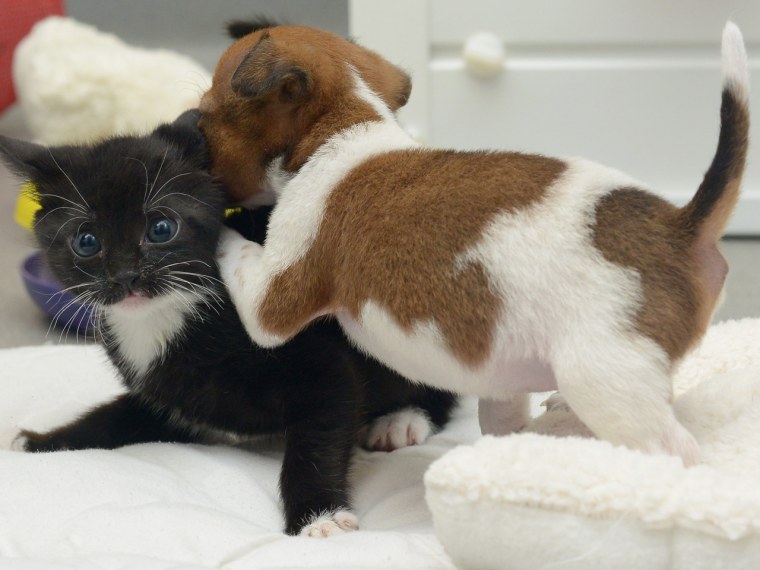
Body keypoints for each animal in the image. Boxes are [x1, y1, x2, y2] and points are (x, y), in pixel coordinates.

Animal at [0, 112, 458, 536]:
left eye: (161, 228)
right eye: (86, 241)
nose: (126, 276)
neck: (164, 317)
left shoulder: (320, 363)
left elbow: (320, 433)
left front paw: (318, 516)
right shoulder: (169, 395)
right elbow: (113, 418)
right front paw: (42, 441)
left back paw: (403, 419)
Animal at [199, 22, 752, 466]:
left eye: (202, 118)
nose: (189, 128)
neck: (343, 129)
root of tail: (683, 225)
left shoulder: (273, 298)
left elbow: (239, 257)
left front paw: (212, 223)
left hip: (607, 381)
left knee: (673, 451)